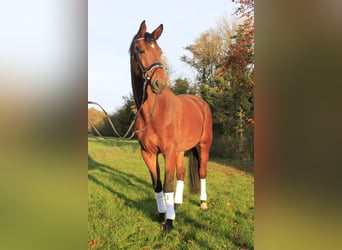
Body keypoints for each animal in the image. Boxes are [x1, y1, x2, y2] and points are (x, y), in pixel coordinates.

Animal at [130, 21, 212, 230]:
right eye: (141, 50)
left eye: (160, 51)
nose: (160, 83)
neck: (153, 113)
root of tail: (201, 103)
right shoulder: (148, 153)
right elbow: (158, 185)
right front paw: (162, 215)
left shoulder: (168, 151)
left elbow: (167, 184)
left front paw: (168, 223)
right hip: (181, 151)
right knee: (182, 174)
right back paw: (176, 205)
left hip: (203, 147)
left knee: (202, 172)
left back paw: (203, 203)